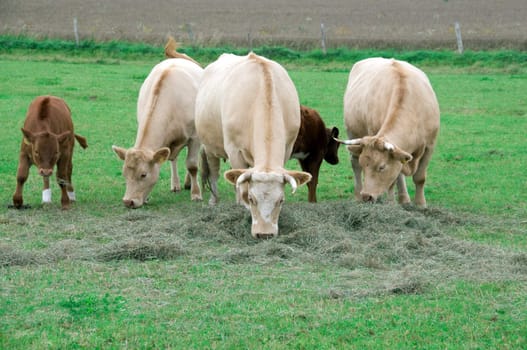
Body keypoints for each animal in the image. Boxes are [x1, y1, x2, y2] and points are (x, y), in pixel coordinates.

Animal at [113, 58, 204, 208]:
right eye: (124, 174)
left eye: (143, 175)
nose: (128, 201)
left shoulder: (195, 137)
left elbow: (192, 165)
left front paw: (196, 194)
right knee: (173, 159)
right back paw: (176, 184)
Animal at [198, 52, 314, 238]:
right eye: (252, 199)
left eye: (281, 200)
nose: (264, 234)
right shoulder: (234, 150)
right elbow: (242, 187)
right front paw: (242, 207)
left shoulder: (287, 148)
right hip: (210, 146)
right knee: (214, 172)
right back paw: (214, 200)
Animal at [338, 57, 442, 208]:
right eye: (365, 165)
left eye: (381, 167)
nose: (366, 196)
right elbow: (394, 179)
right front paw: (391, 203)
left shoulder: (429, 145)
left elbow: (419, 177)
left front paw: (420, 204)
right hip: (352, 132)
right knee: (354, 163)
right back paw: (358, 195)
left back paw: (404, 199)